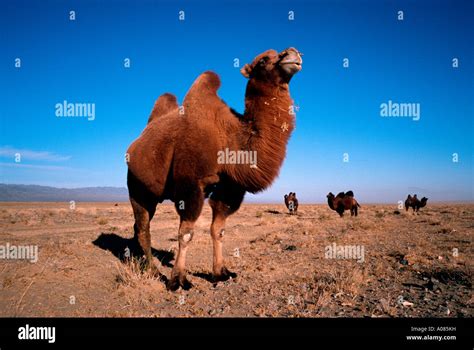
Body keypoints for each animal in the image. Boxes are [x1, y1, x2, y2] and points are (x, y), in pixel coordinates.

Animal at [127, 47, 304, 292]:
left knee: (138, 227)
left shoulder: (229, 189)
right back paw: (152, 270)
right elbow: (186, 234)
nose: (292, 54)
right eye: (262, 60)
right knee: (144, 228)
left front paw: (221, 273)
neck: (230, 138)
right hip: (136, 187)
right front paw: (178, 280)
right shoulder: (190, 185)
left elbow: (218, 230)